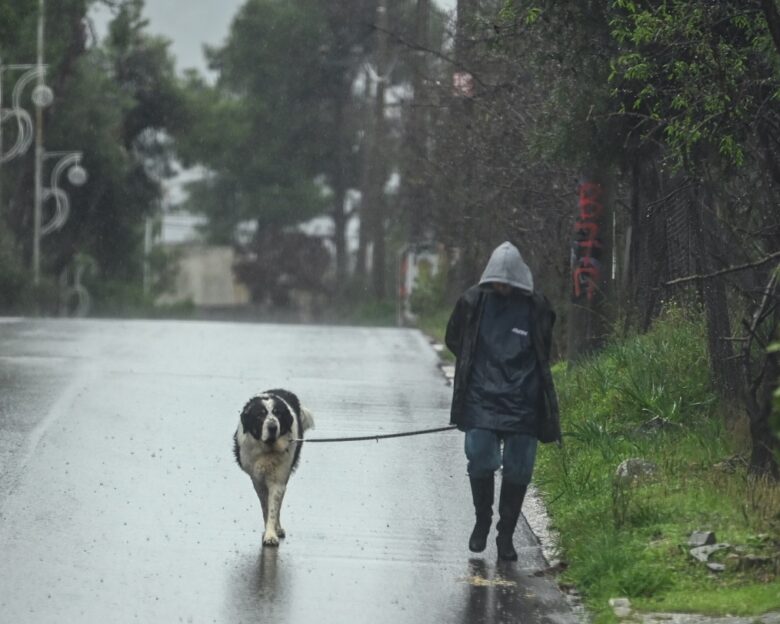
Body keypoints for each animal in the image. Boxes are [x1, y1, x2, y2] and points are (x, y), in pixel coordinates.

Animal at [233, 390, 316, 544]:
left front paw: (271, 535)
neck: (268, 450)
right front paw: (269, 531)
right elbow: (265, 506)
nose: (272, 427)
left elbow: (273, 508)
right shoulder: (257, 480)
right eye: (260, 415)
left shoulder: (279, 480)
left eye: (278, 414)